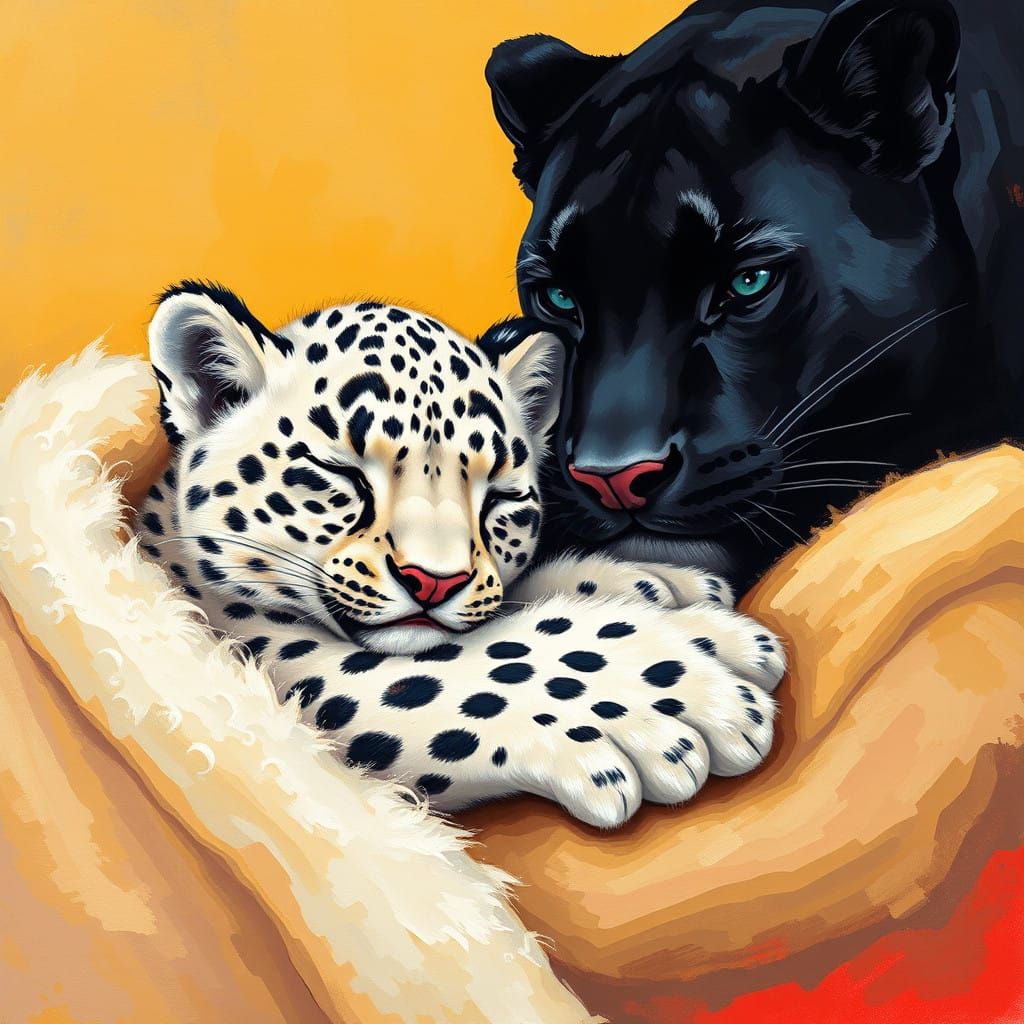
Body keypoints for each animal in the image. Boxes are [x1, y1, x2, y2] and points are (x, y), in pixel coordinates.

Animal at [137, 280, 784, 828]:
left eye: (500, 496)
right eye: (340, 474)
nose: (433, 582)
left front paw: (665, 589)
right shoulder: (276, 658)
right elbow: (475, 661)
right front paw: (690, 689)